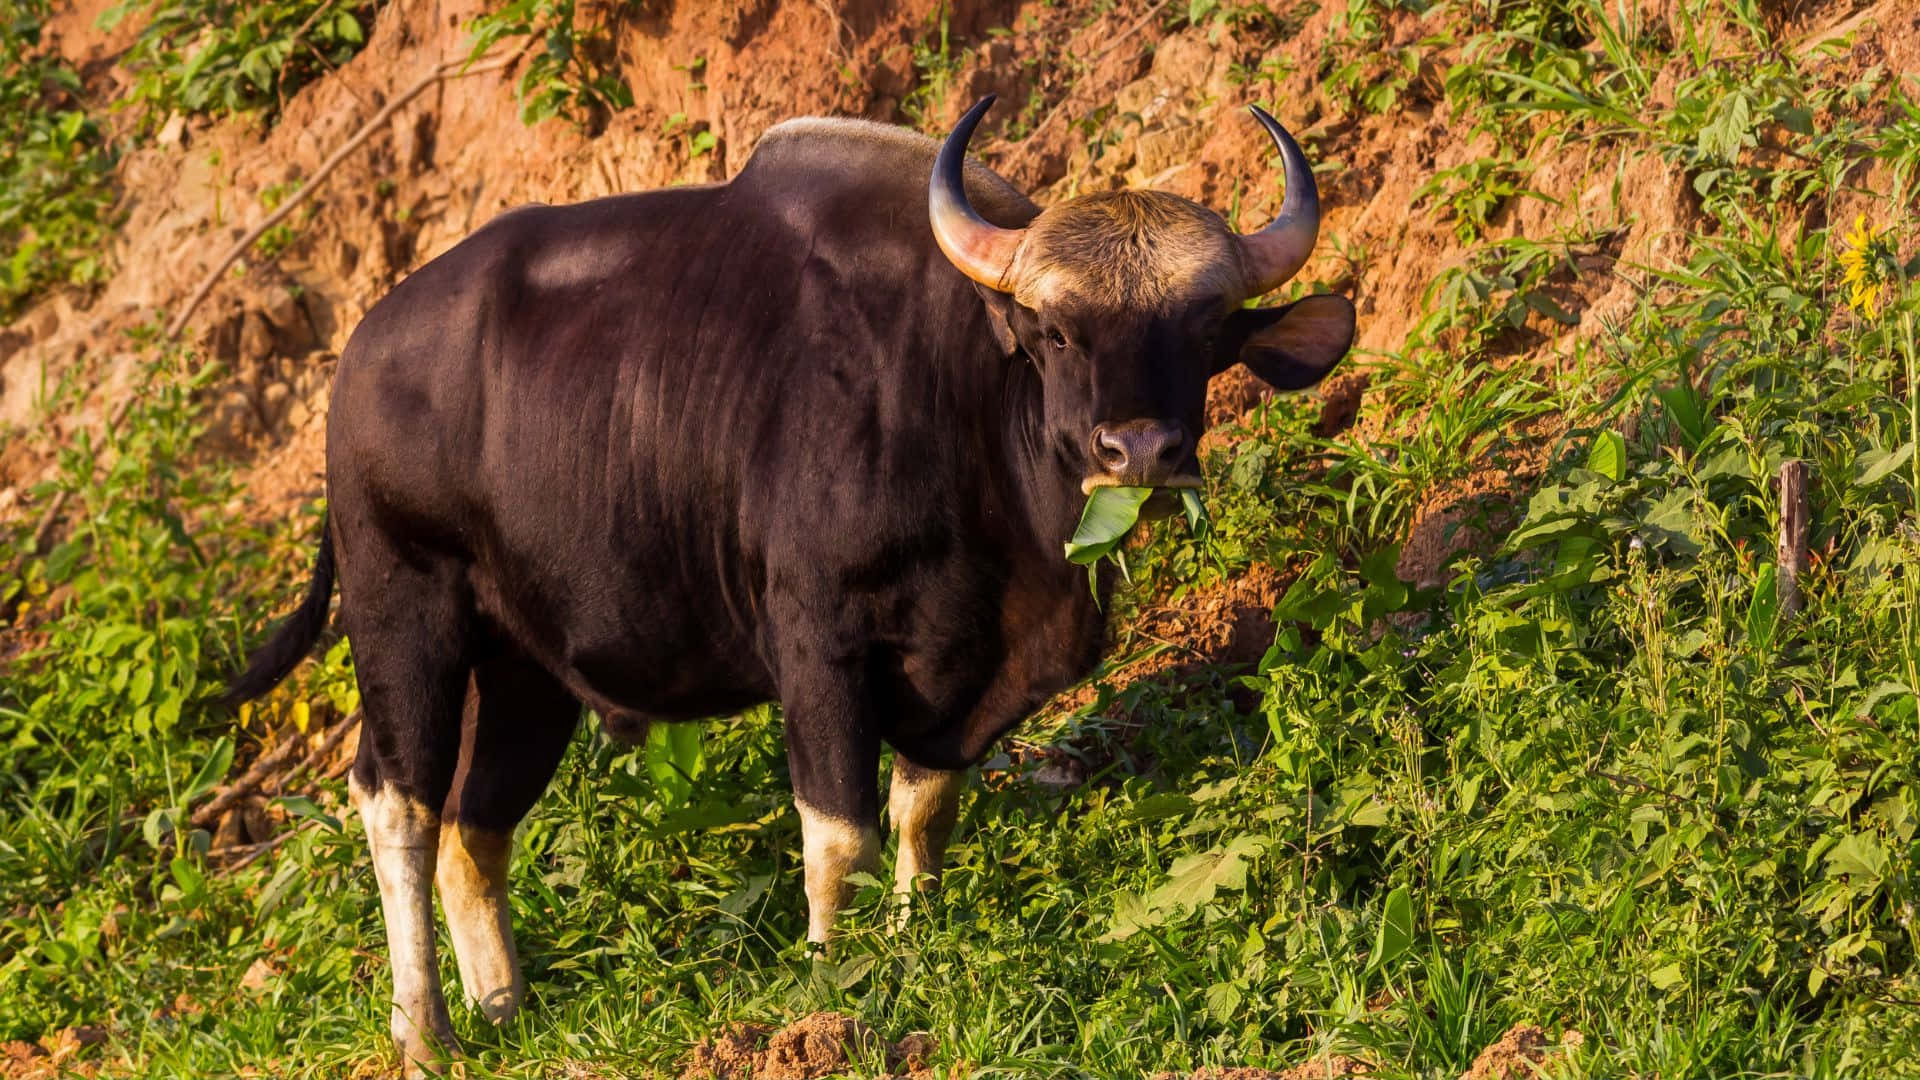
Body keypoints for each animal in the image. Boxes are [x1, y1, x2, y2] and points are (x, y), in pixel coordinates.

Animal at [224, 95, 1353, 1072]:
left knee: (474, 823)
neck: (960, 412)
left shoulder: (962, 677)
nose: (1141, 450)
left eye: (1205, 334)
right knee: (398, 802)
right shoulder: (818, 642)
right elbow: (840, 831)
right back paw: (425, 1034)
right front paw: (832, 986)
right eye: (1059, 333)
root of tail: (359, 360)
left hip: (523, 667)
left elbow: (924, 814)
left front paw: (916, 950)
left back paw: (503, 1011)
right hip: (402, 608)